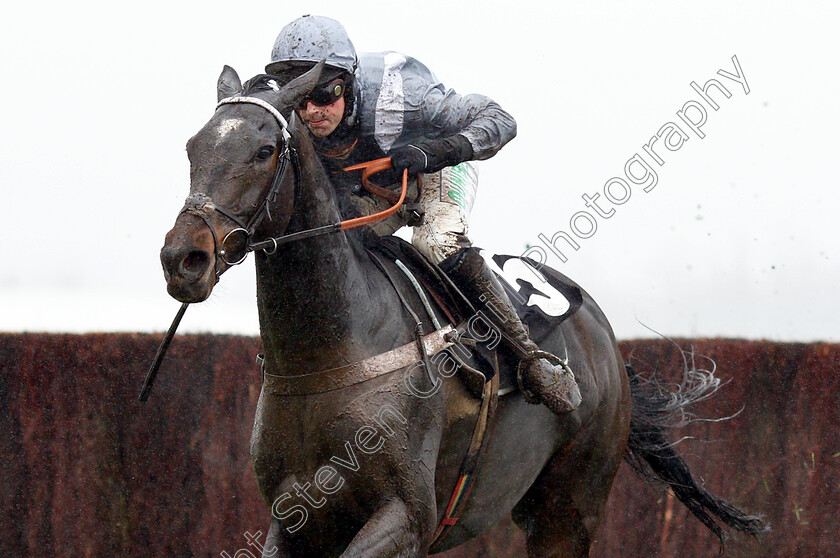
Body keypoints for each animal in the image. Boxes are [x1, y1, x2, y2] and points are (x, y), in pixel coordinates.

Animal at [159, 63, 768, 556]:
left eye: (264, 151)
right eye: (191, 148)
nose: (182, 258)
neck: (330, 354)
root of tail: (606, 341)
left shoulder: (406, 517)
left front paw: (415, 153)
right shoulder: (294, 521)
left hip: (569, 511)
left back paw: (548, 377)